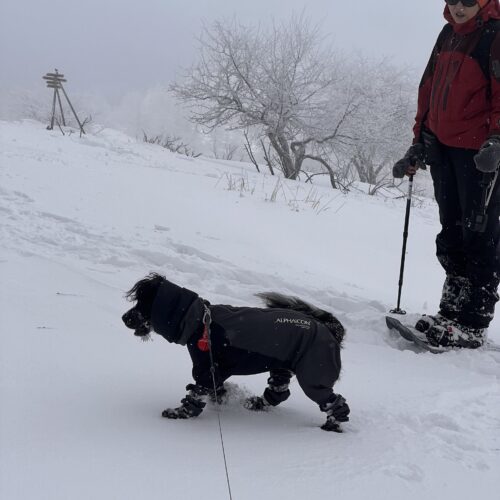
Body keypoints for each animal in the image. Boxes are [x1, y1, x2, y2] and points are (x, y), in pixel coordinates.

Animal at [121, 272, 350, 432]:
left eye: (142, 305)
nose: (124, 318)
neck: (199, 322)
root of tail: (331, 329)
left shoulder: (207, 368)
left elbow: (196, 393)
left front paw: (180, 413)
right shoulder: (215, 371)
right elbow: (215, 389)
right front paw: (222, 398)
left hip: (314, 372)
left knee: (333, 400)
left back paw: (332, 426)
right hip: (283, 364)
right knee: (280, 391)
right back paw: (257, 403)